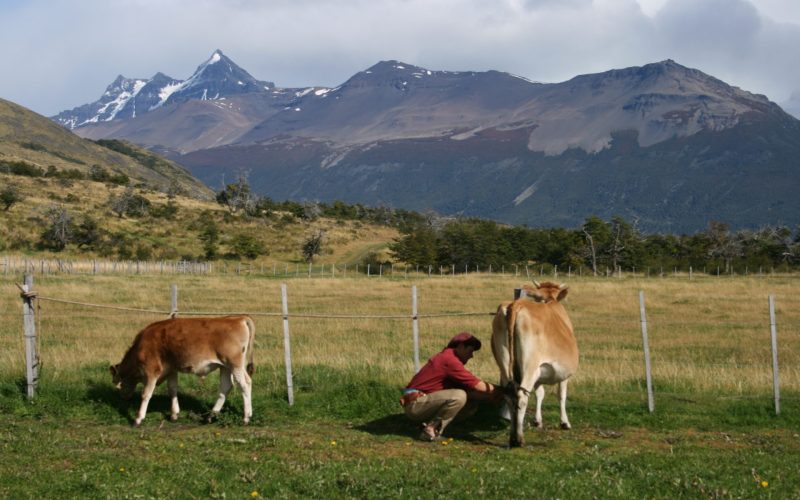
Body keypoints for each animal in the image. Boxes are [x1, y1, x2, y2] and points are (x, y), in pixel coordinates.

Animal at [110, 315, 255, 427]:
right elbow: (172, 389)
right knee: (226, 387)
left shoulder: (152, 370)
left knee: (245, 384)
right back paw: (211, 416)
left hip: (235, 365)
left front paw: (138, 418)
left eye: (118, 385)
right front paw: (174, 414)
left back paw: (246, 418)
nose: (122, 398)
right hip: (225, 367)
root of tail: (238, 318)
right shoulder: (171, 369)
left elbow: (146, 394)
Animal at [491, 280, 578, 447]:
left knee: (510, 395)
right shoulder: (564, 374)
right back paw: (518, 439)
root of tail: (516, 304)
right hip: (529, 366)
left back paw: (512, 436)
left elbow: (540, 393)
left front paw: (538, 421)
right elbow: (561, 395)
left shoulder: (539, 371)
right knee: (522, 396)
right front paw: (565, 422)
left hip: (504, 364)